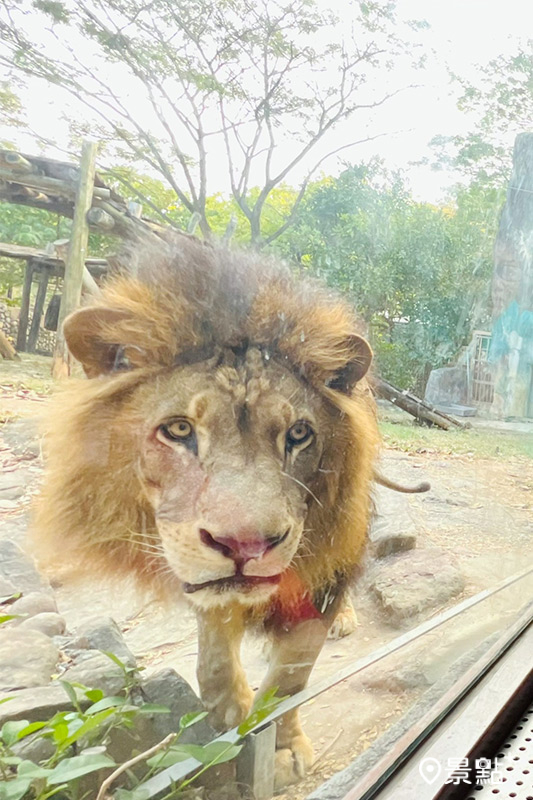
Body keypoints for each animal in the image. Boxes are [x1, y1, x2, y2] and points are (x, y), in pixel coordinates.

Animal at [34, 236, 378, 788]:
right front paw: (229, 712)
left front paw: (283, 748)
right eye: (178, 430)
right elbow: (215, 651)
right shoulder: (194, 566)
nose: (246, 546)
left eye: (298, 434)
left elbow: (291, 676)